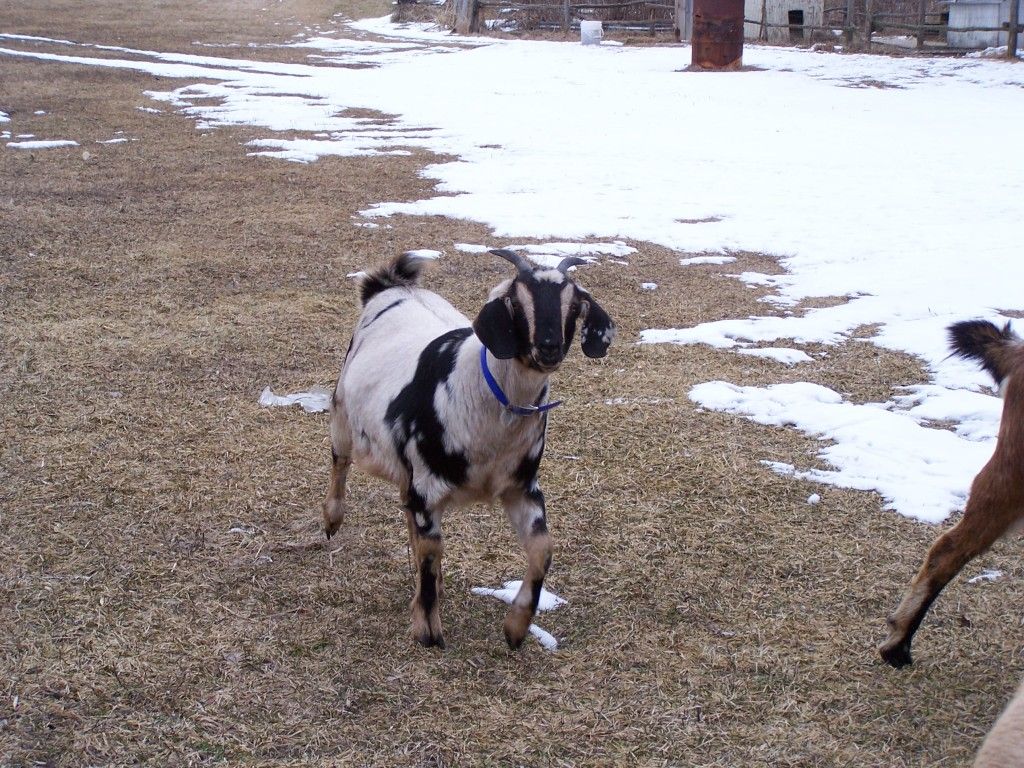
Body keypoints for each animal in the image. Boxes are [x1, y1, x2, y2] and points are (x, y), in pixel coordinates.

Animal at [324, 249, 615, 649]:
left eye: (575, 305)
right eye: (515, 301)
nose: (549, 346)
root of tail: (388, 286)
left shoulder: (522, 486)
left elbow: (543, 550)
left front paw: (516, 628)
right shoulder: (428, 485)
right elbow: (431, 552)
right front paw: (428, 631)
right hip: (342, 410)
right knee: (341, 461)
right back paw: (332, 520)